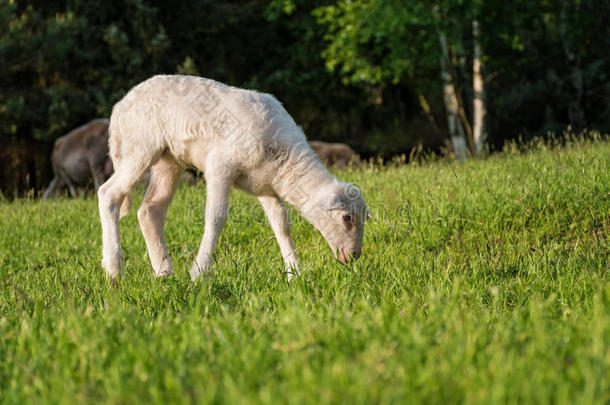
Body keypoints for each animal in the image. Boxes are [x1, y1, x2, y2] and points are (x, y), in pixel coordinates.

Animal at [97, 73, 368, 280]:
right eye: (346, 217)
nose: (355, 256)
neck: (286, 160)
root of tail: (121, 106)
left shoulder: (265, 185)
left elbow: (282, 224)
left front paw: (294, 273)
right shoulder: (220, 166)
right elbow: (216, 217)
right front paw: (199, 273)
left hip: (169, 159)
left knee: (150, 209)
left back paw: (164, 273)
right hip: (140, 146)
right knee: (109, 193)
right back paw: (114, 270)